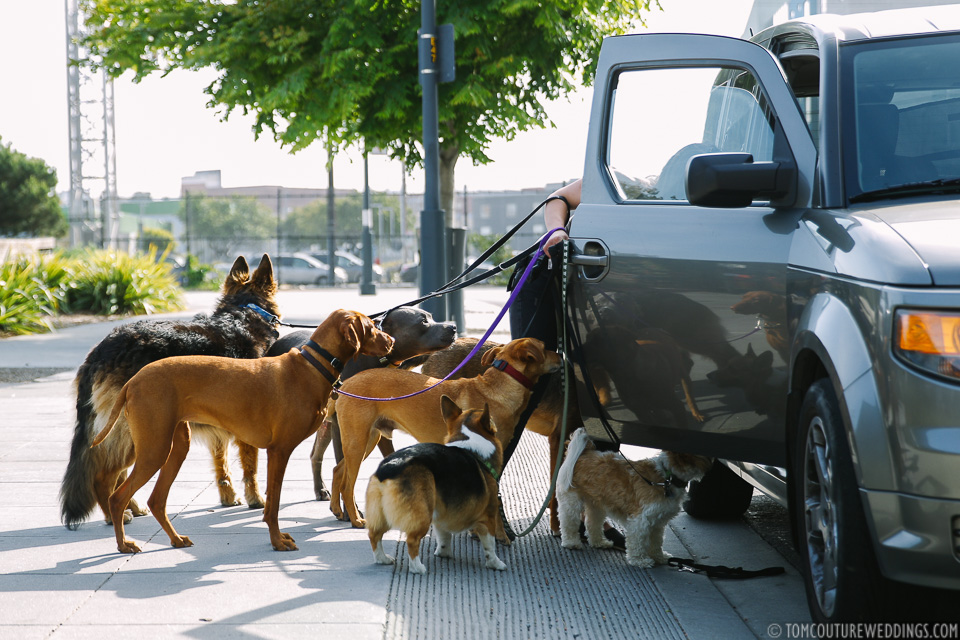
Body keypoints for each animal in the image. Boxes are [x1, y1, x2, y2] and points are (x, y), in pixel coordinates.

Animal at [60, 255, 280, 528]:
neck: (244, 312)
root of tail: (101, 350)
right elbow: (251, 467)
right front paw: (256, 499)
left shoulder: (218, 428)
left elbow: (222, 463)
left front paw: (228, 496)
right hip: (139, 432)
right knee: (105, 474)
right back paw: (115, 516)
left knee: (119, 475)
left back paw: (129, 508)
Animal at [88, 308, 392, 552]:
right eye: (372, 326)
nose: (391, 341)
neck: (311, 367)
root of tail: (134, 380)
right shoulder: (278, 451)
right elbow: (273, 504)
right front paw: (277, 542)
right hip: (155, 448)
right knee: (118, 496)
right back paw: (123, 544)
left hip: (175, 446)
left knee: (157, 500)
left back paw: (175, 539)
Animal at [328, 338, 560, 528]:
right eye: (545, 347)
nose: (561, 356)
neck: (496, 387)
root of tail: (345, 383)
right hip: (357, 441)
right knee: (347, 484)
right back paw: (356, 520)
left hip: (367, 438)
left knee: (338, 470)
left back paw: (338, 510)